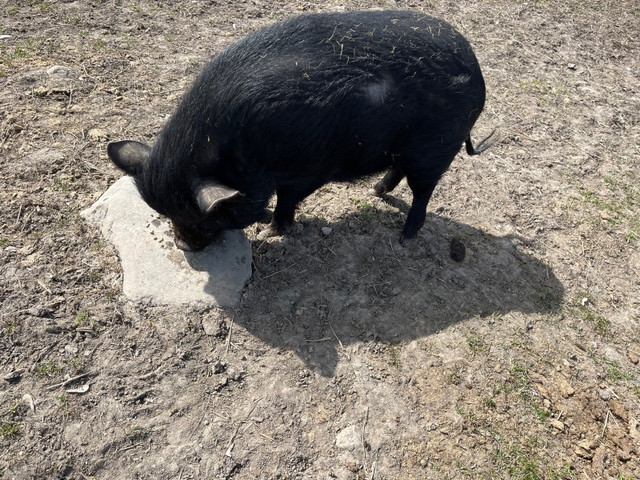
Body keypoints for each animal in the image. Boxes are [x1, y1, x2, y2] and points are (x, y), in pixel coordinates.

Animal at [107, 10, 492, 251]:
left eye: (203, 218)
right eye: (166, 214)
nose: (183, 246)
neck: (239, 147)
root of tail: (476, 69)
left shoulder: (306, 170)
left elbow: (287, 200)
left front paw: (270, 232)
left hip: (436, 149)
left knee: (423, 193)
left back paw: (405, 238)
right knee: (397, 170)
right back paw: (375, 192)